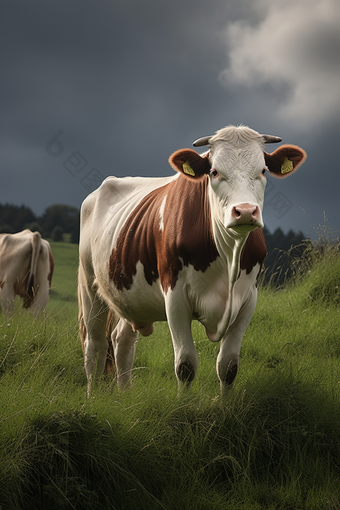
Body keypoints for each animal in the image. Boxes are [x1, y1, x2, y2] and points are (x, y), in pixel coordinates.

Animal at [78, 124, 306, 394]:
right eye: (215, 172)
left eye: (262, 170)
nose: (245, 212)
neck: (229, 256)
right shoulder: (175, 297)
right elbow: (185, 365)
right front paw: (183, 404)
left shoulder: (249, 298)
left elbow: (229, 366)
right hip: (90, 285)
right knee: (95, 346)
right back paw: (92, 396)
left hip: (130, 295)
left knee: (121, 340)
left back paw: (125, 395)